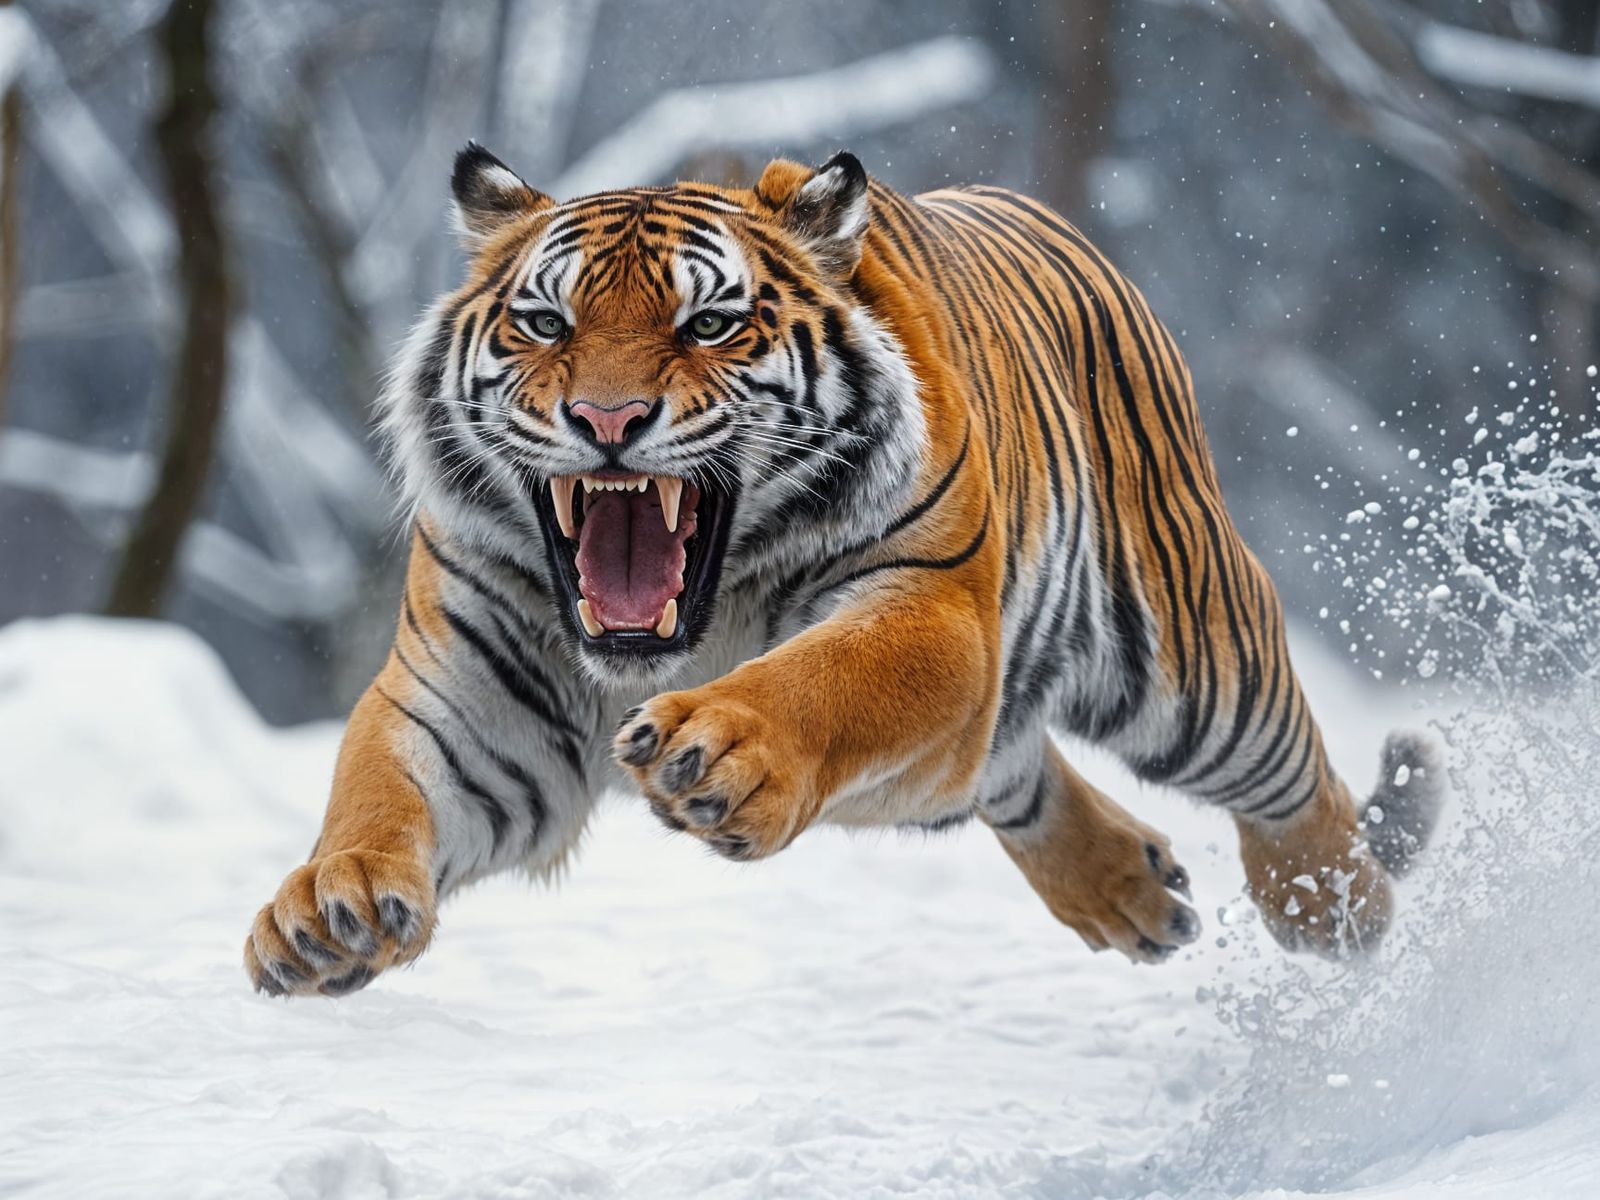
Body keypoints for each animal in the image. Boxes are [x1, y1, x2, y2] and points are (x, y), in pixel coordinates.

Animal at [243, 143, 1444, 997]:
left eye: (708, 324)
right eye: (544, 322)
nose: (607, 420)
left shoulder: (935, 609)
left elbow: (830, 677)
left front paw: (717, 752)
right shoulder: (469, 705)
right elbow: (379, 786)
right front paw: (331, 909)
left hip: (1192, 662)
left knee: (1293, 780)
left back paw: (1337, 911)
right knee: (1008, 767)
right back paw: (1133, 891)